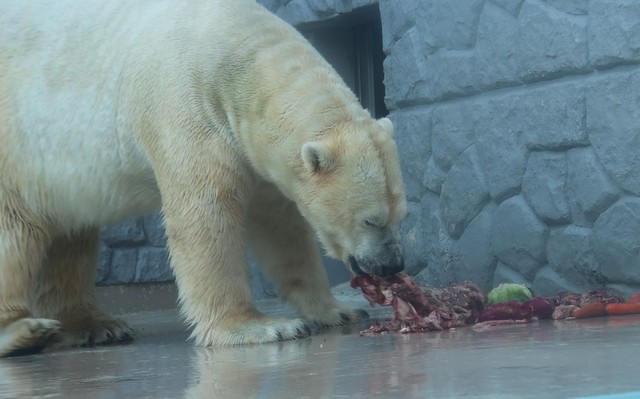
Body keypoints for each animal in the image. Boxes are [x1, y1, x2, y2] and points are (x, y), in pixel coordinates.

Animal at [0, 0, 408, 356]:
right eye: (370, 220)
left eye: (400, 215)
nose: (392, 265)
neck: (239, 52)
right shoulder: (188, 103)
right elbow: (206, 214)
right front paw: (261, 326)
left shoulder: (254, 147)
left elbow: (282, 227)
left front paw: (338, 310)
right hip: (15, 148)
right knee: (16, 232)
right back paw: (26, 331)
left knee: (72, 234)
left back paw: (96, 325)